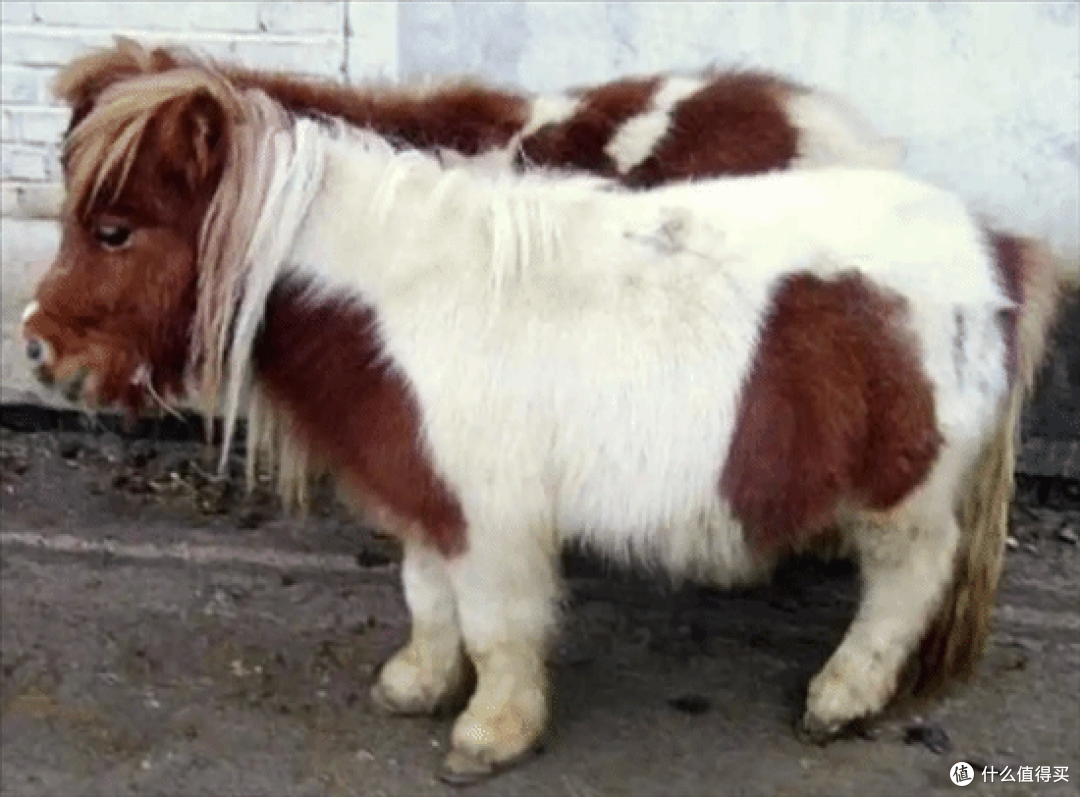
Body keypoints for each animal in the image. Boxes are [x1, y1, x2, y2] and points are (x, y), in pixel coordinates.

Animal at [19, 62, 1074, 784]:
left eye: (113, 230)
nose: (37, 350)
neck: (396, 297)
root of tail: (995, 246)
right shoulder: (429, 492)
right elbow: (427, 599)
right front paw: (416, 683)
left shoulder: (492, 518)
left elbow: (495, 625)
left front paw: (492, 733)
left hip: (907, 492)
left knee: (906, 583)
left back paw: (843, 694)